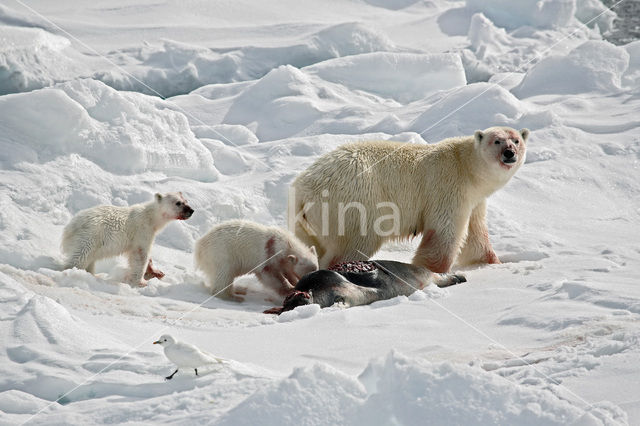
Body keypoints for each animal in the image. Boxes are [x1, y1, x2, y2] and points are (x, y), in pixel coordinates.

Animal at [292, 126, 528, 272]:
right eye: (497, 141)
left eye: (516, 140)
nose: (509, 153)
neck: (466, 166)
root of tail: (304, 191)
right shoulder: (448, 187)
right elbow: (444, 232)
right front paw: (431, 270)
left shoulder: (475, 200)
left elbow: (475, 234)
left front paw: (492, 262)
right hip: (352, 202)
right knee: (354, 242)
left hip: (306, 222)